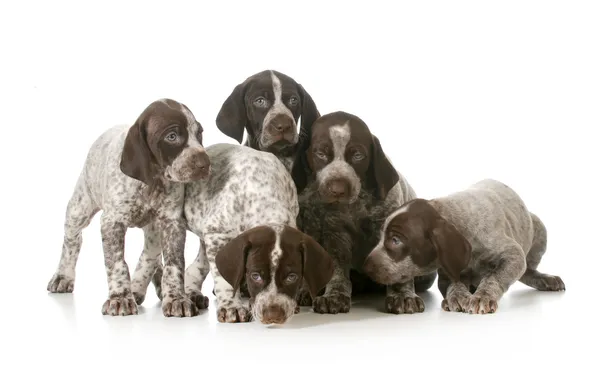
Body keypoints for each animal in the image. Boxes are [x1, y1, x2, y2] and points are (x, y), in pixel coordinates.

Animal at [45, 99, 209, 318]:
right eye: (172, 136)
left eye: (199, 133)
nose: (205, 164)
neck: (151, 182)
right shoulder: (111, 222)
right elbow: (116, 263)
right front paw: (121, 298)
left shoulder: (172, 222)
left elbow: (174, 263)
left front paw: (175, 298)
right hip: (79, 207)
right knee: (72, 241)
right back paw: (63, 276)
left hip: (153, 229)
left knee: (151, 255)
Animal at [292, 110, 436, 314]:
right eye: (320, 153)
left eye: (358, 155)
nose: (337, 190)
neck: (354, 206)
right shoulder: (335, 235)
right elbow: (337, 270)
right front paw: (334, 295)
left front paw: (402, 295)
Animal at [364, 180, 564, 314]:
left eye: (395, 240)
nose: (365, 266)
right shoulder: (446, 271)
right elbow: (455, 283)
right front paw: (458, 297)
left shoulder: (513, 254)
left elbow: (495, 276)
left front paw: (483, 296)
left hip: (538, 227)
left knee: (527, 271)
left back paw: (545, 278)